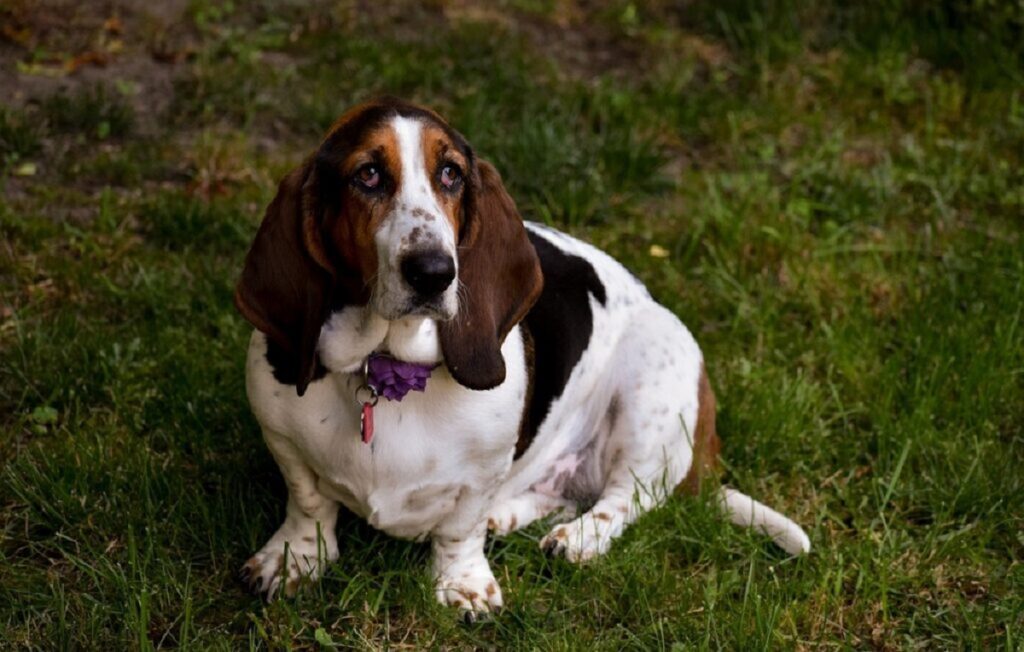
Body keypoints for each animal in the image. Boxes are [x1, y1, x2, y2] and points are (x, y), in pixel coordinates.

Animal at [234, 95, 806, 614]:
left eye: (451, 174)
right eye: (368, 174)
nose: (435, 272)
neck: (387, 367)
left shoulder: (483, 469)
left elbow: (460, 528)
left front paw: (462, 585)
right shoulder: (280, 436)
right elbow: (308, 502)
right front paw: (294, 559)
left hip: (651, 396)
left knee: (627, 498)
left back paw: (577, 539)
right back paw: (508, 516)